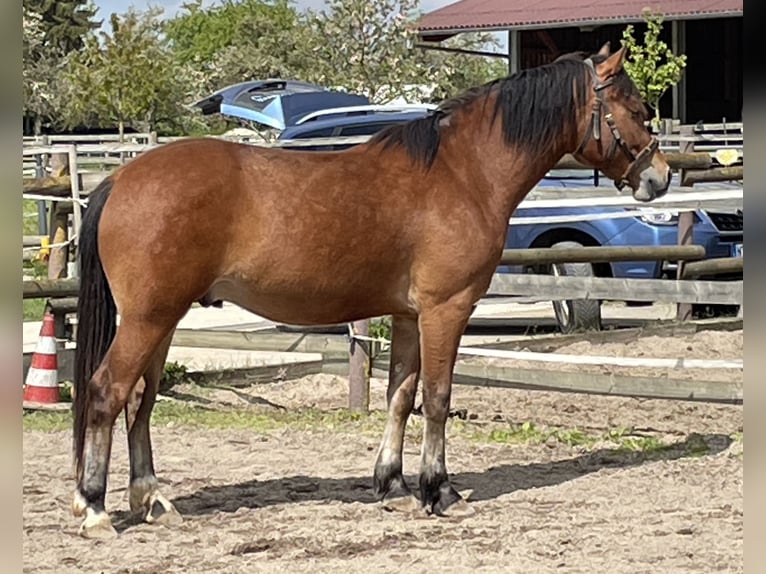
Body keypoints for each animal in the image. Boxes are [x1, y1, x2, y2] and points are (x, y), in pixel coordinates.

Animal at [72, 45, 672, 540]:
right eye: (637, 109)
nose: (660, 178)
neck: (463, 173)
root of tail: (120, 179)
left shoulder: (407, 316)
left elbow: (400, 397)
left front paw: (395, 487)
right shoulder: (446, 310)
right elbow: (438, 398)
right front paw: (439, 491)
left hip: (163, 320)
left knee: (141, 401)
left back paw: (152, 500)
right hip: (148, 319)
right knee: (107, 392)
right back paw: (96, 509)